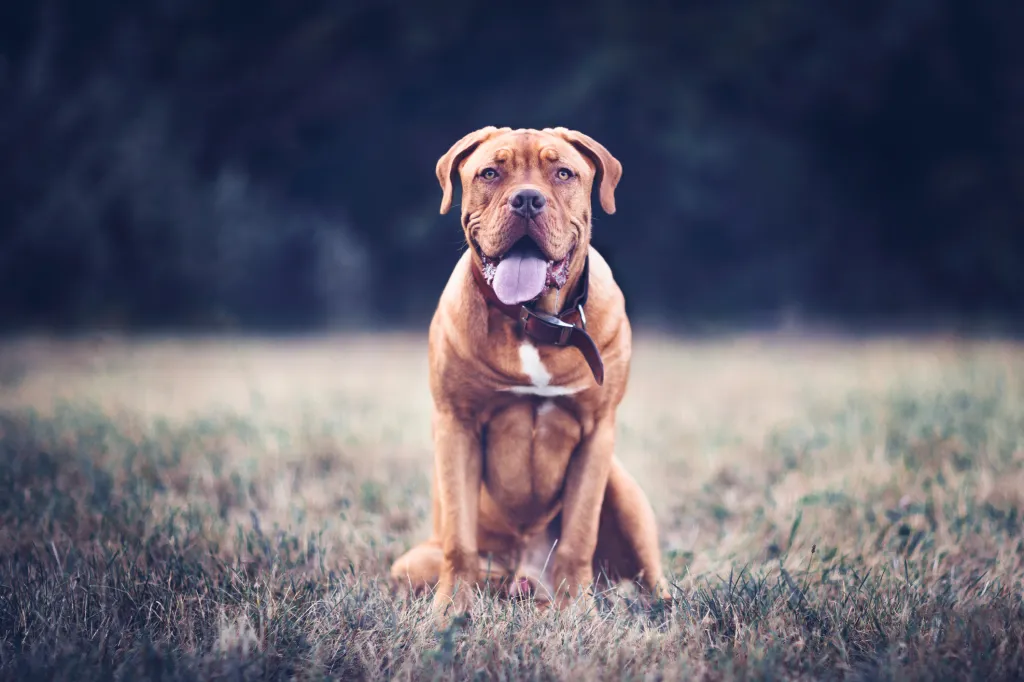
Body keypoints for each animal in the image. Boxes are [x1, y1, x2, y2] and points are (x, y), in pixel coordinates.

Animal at [387, 124, 667, 618]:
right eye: (490, 173)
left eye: (563, 173)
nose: (527, 200)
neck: (533, 320)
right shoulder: (457, 425)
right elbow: (460, 538)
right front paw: (449, 611)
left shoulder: (597, 433)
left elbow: (578, 535)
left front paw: (578, 611)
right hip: (411, 564)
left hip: (623, 491)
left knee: (652, 576)